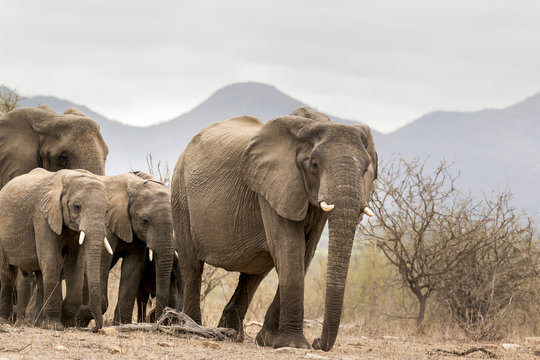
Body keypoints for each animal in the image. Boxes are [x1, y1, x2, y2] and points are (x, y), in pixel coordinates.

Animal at [0, 169, 110, 332]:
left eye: (107, 211)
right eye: (77, 206)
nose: (95, 328)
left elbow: (75, 265)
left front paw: (69, 324)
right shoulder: (42, 216)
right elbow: (52, 261)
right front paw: (55, 326)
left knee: (40, 275)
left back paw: (38, 324)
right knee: (7, 274)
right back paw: (4, 322)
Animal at [74, 170, 174, 324]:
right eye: (145, 221)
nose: (159, 319)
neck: (134, 186)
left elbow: (133, 268)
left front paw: (121, 324)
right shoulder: (106, 224)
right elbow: (102, 262)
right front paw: (79, 317)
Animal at [171, 107, 378, 352]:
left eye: (366, 169)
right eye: (314, 165)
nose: (318, 342)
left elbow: (305, 255)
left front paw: (269, 341)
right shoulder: (272, 187)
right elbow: (290, 249)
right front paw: (294, 344)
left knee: (253, 274)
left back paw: (231, 334)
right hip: (180, 193)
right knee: (192, 265)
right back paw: (193, 330)